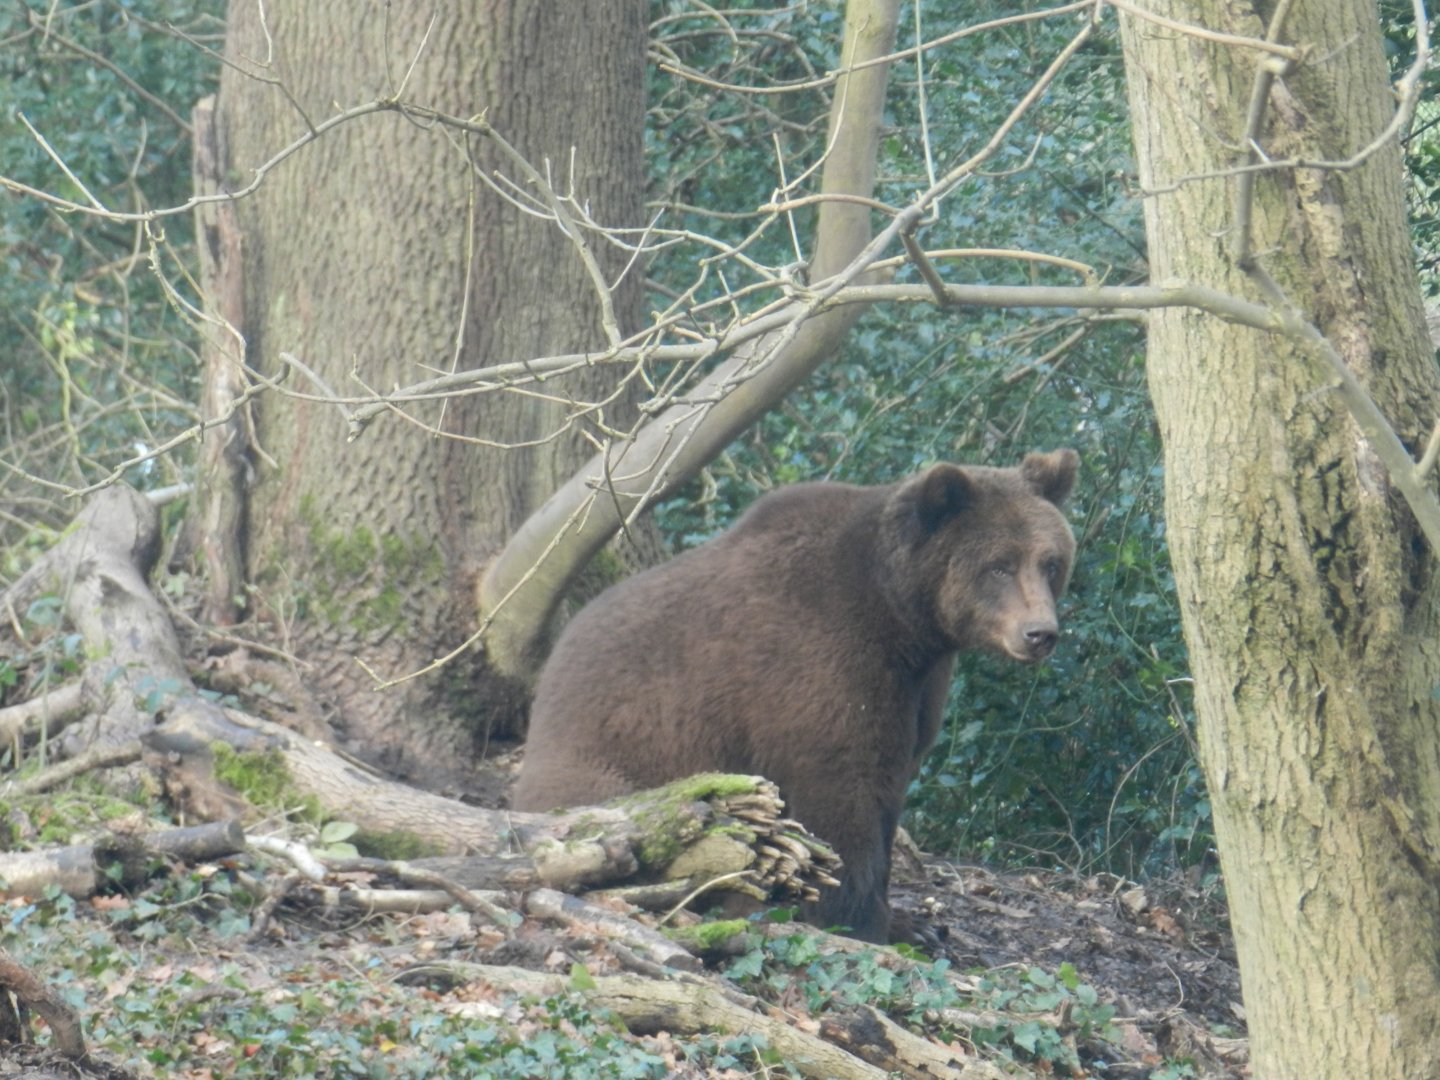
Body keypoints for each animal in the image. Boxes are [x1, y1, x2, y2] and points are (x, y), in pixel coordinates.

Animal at [511, 449, 1079, 943]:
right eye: (999, 564)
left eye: (1050, 562)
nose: (1040, 633)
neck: (902, 620)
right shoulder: (816, 666)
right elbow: (839, 791)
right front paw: (857, 918)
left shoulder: (913, 690)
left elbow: (888, 788)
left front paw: (910, 922)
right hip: (604, 761)